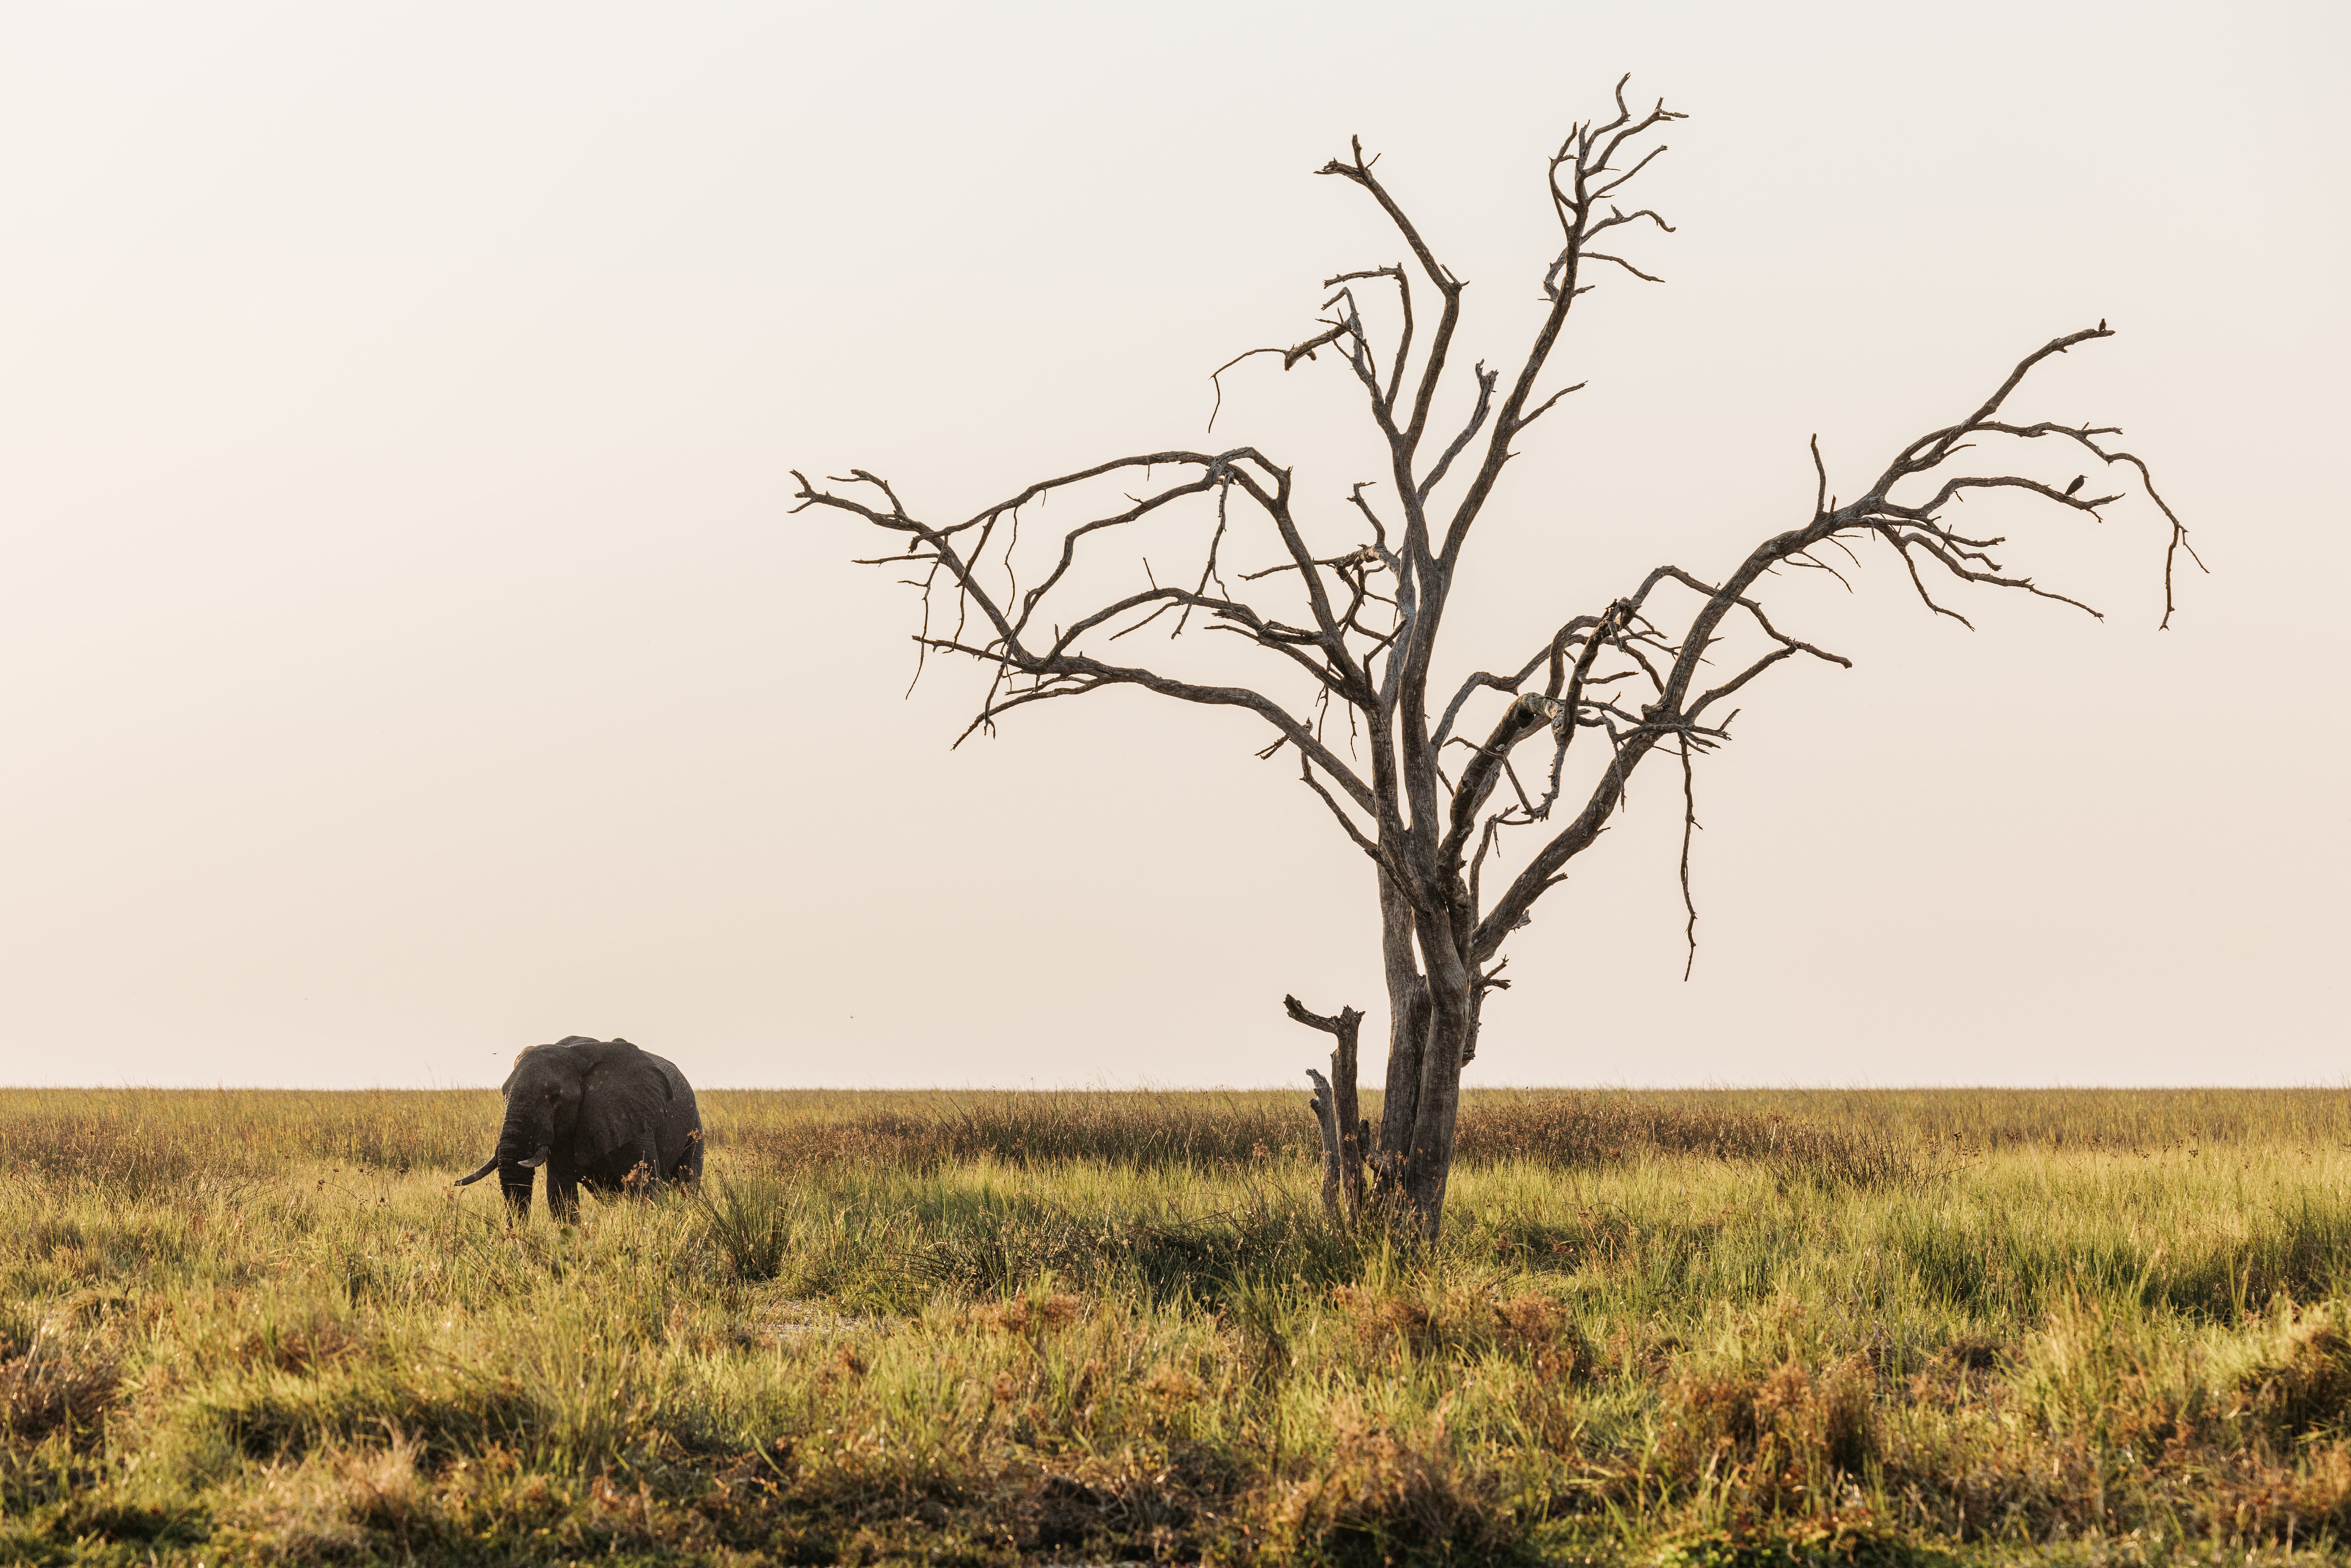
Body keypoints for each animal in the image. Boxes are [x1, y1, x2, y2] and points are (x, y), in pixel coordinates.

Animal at [454, 1036, 703, 1220]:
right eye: (504, 1094)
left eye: (555, 1097)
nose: (515, 1236)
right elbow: (560, 1194)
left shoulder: (633, 1114)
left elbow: (645, 1187)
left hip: (694, 1127)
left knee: (687, 1181)